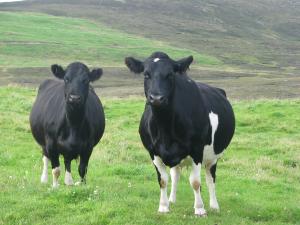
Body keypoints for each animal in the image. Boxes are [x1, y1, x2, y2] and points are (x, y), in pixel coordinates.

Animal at [124, 52, 234, 216]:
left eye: (170, 74)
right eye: (146, 74)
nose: (156, 98)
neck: (165, 129)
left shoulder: (197, 150)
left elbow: (195, 182)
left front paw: (199, 209)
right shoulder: (153, 152)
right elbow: (163, 180)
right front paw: (163, 206)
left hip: (213, 156)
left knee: (210, 178)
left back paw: (214, 205)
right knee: (175, 175)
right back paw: (172, 200)